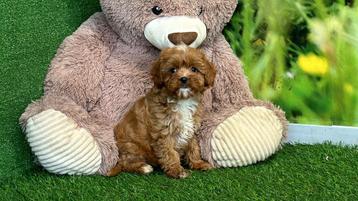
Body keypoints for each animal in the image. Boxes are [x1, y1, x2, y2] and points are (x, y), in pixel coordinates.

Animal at [107, 46, 217, 179]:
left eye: (194, 69)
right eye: (173, 70)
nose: (184, 78)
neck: (182, 100)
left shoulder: (191, 127)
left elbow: (193, 146)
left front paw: (198, 163)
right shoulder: (163, 132)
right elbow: (170, 153)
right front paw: (177, 170)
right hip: (132, 147)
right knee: (125, 163)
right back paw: (144, 167)